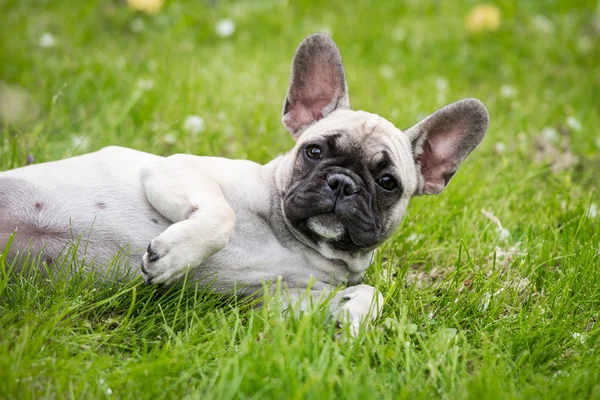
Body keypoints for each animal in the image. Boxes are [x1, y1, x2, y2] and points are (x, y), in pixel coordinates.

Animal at [0, 33, 488, 334]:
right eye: (314, 152)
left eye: (387, 182)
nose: (342, 183)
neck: (295, 240)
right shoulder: (177, 169)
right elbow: (222, 217)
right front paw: (174, 256)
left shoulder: (284, 301)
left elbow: (373, 293)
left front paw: (354, 321)